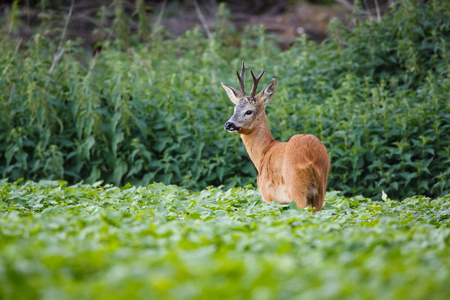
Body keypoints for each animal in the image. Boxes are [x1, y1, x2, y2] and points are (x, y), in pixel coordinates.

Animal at [222, 61, 330, 212]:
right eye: (234, 109)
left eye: (249, 111)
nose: (229, 124)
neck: (264, 151)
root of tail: (312, 156)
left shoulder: (268, 195)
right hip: (321, 188)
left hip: (296, 187)